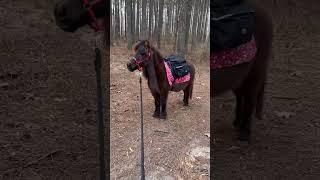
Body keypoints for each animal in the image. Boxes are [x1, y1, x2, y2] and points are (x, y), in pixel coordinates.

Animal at [211, 1, 274, 142]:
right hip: (239, 76)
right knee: (241, 96)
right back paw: (237, 123)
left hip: (255, 71)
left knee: (250, 98)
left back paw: (244, 133)